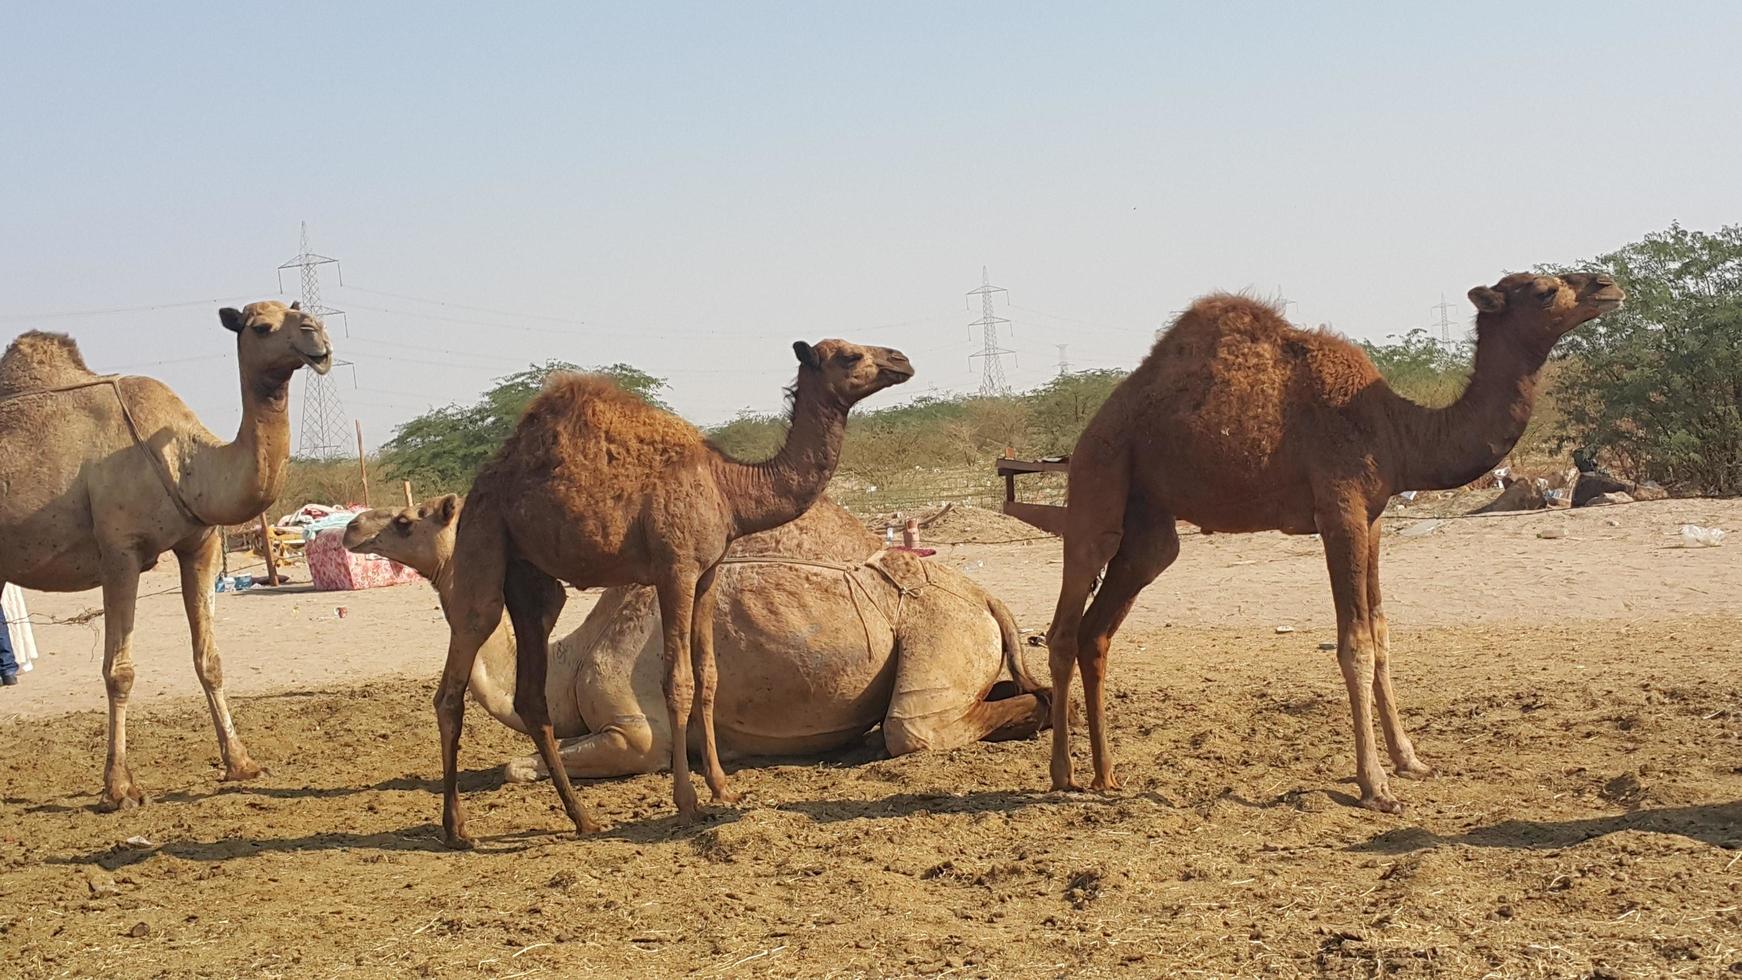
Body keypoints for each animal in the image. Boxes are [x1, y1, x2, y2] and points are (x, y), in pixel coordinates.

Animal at [0, 302, 332, 807]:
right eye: (261, 326)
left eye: (298, 312)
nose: (318, 336)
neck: (189, 464)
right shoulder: (120, 551)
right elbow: (119, 671)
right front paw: (120, 788)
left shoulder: (200, 542)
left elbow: (209, 659)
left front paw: (241, 763)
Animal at [344, 497, 1038, 783]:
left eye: (405, 520)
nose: (350, 526)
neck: (574, 656)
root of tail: (986, 597)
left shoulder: (635, 731)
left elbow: (515, 766)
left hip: (938, 633)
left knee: (913, 729)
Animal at [438, 341, 912, 845]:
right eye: (848, 355)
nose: (901, 360)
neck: (730, 489)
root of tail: (487, 478)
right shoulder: (675, 571)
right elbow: (677, 682)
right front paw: (687, 803)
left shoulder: (707, 574)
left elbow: (708, 676)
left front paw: (722, 787)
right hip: (484, 533)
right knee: (461, 662)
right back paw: (457, 830)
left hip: (530, 575)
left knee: (531, 686)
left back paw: (583, 819)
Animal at [1045, 275, 1630, 814]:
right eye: (1545, 290)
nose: (1608, 286)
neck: (1399, 430)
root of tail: (1090, 429)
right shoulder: (1339, 511)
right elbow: (1356, 644)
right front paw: (1376, 786)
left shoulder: (1372, 517)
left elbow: (1382, 630)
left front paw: (1410, 759)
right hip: (1099, 480)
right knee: (1064, 625)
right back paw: (1062, 774)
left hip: (1151, 528)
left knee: (1098, 632)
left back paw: (1106, 775)